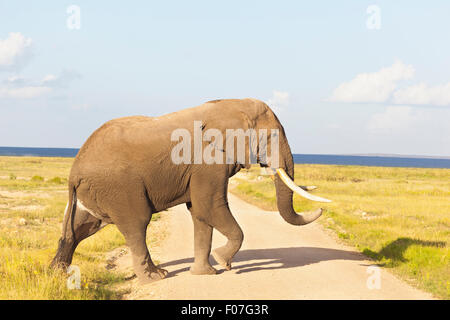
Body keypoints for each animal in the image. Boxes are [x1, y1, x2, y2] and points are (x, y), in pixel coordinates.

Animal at [50, 97, 330, 282]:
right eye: (271, 137)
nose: (322, 208)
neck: (231, 105)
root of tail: (74, 168)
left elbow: (199, 213)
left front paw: (205, 273)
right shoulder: (208, 161)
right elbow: (209, 207)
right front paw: (223, 262)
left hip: (94, 191)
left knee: (79, 228)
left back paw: (56, 273)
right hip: (118, 187)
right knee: (137, 224)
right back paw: (156, 277)